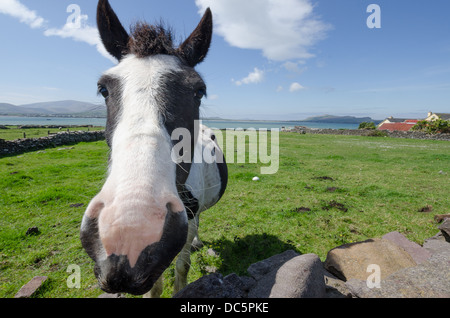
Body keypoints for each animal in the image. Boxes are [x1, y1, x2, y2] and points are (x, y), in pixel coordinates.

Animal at [80, 0, 229, 298]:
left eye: (199, 91)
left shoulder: (187, 218)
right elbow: (156, 284)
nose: (130, 233)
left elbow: (182, 266)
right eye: (103, 89)